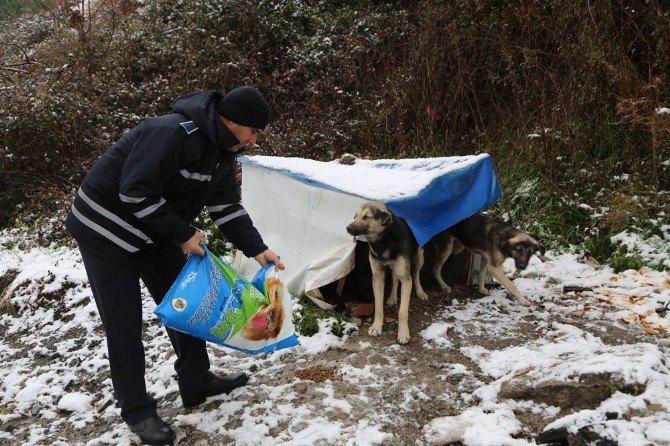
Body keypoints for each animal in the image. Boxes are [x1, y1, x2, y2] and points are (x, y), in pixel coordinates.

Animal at [346, 202, 430, 344]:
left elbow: (402, 312)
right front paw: (376, 326)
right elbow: (378, 307)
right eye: (355, 216)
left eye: (367, 217)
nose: (348, 228)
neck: (383, 241)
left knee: (416, 274)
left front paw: (403, 333)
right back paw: (392, 297)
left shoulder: (406, 279)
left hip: (419, 257)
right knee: (395, 278)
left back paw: (420, 292)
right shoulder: (378, 277)